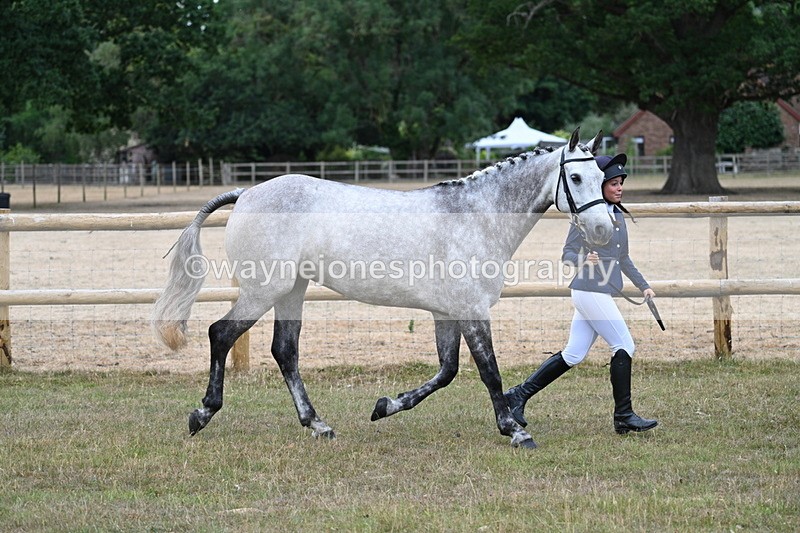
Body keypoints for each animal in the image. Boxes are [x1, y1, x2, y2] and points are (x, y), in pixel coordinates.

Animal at [152, 128, 612, 448]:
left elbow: (446, 372)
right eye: (575, 176)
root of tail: (247, 192)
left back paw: (318, 425)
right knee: (221, 334)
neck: (475, 217)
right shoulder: (472, 309)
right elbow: (489, 371)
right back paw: (202, 414)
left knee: (285, 352)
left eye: (602, 175)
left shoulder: (446, 313)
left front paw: (385, 406)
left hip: (291, 291)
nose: (604, 230)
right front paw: (514, 430)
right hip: (265, 289)